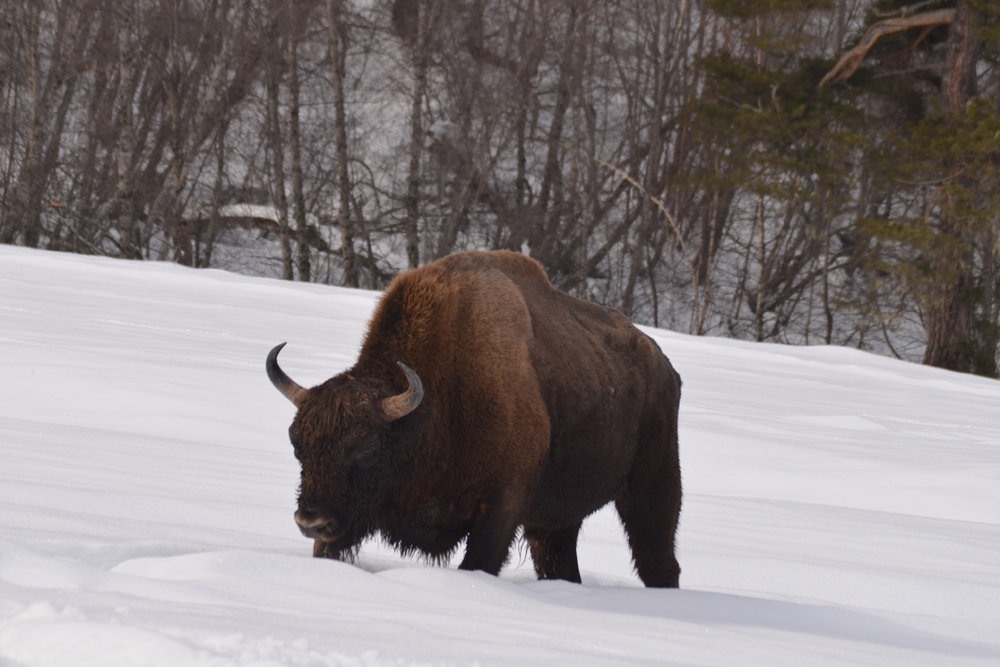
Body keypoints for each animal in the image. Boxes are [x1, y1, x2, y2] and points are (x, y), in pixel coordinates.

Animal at [270, 252, 684, 588]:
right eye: (298, 446)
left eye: (367, 449)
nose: (310, 521)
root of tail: (665, 367)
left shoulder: (500, 505)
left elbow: (479, 561)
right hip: (555, 521)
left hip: (652, 489)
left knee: (659, 561)